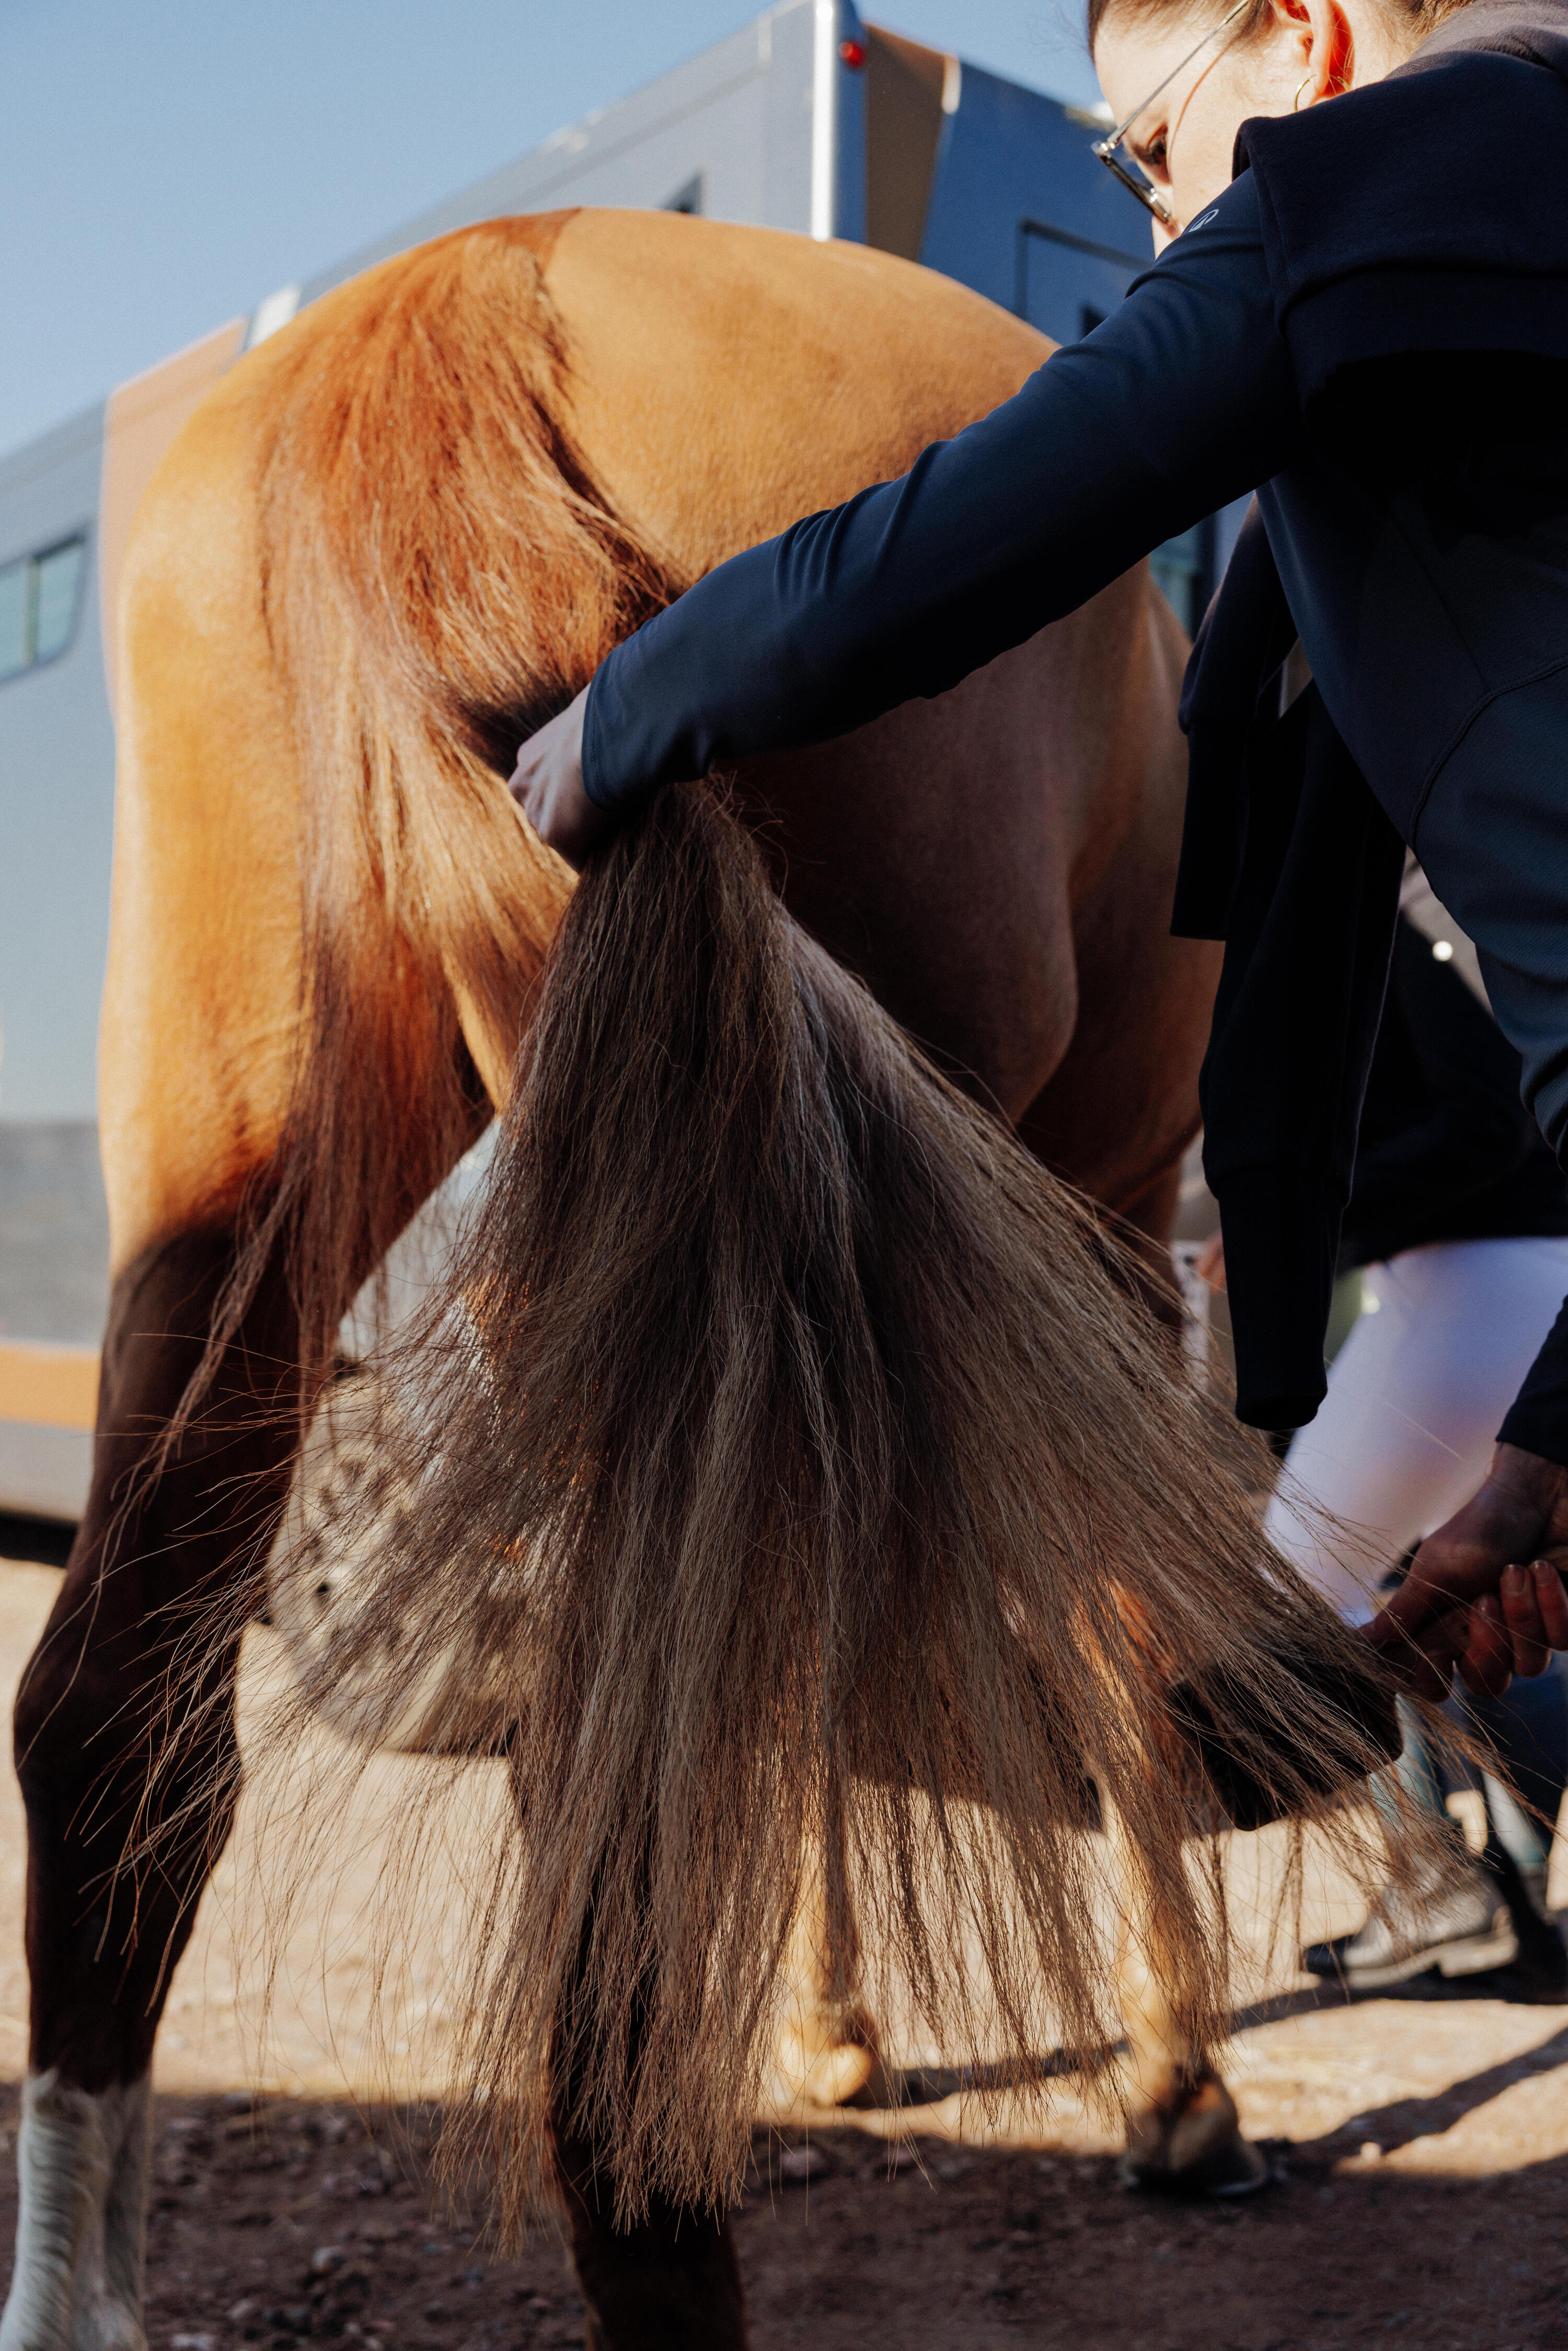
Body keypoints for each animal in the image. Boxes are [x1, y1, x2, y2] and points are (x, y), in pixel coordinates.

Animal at [2, 207, 1397, 2351]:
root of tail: (475, 281)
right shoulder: (1087, 1224)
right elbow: (1089, 1631)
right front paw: (1171, 2077)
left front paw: (836, 2030)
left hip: (241, 1172)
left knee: (109, 1717)